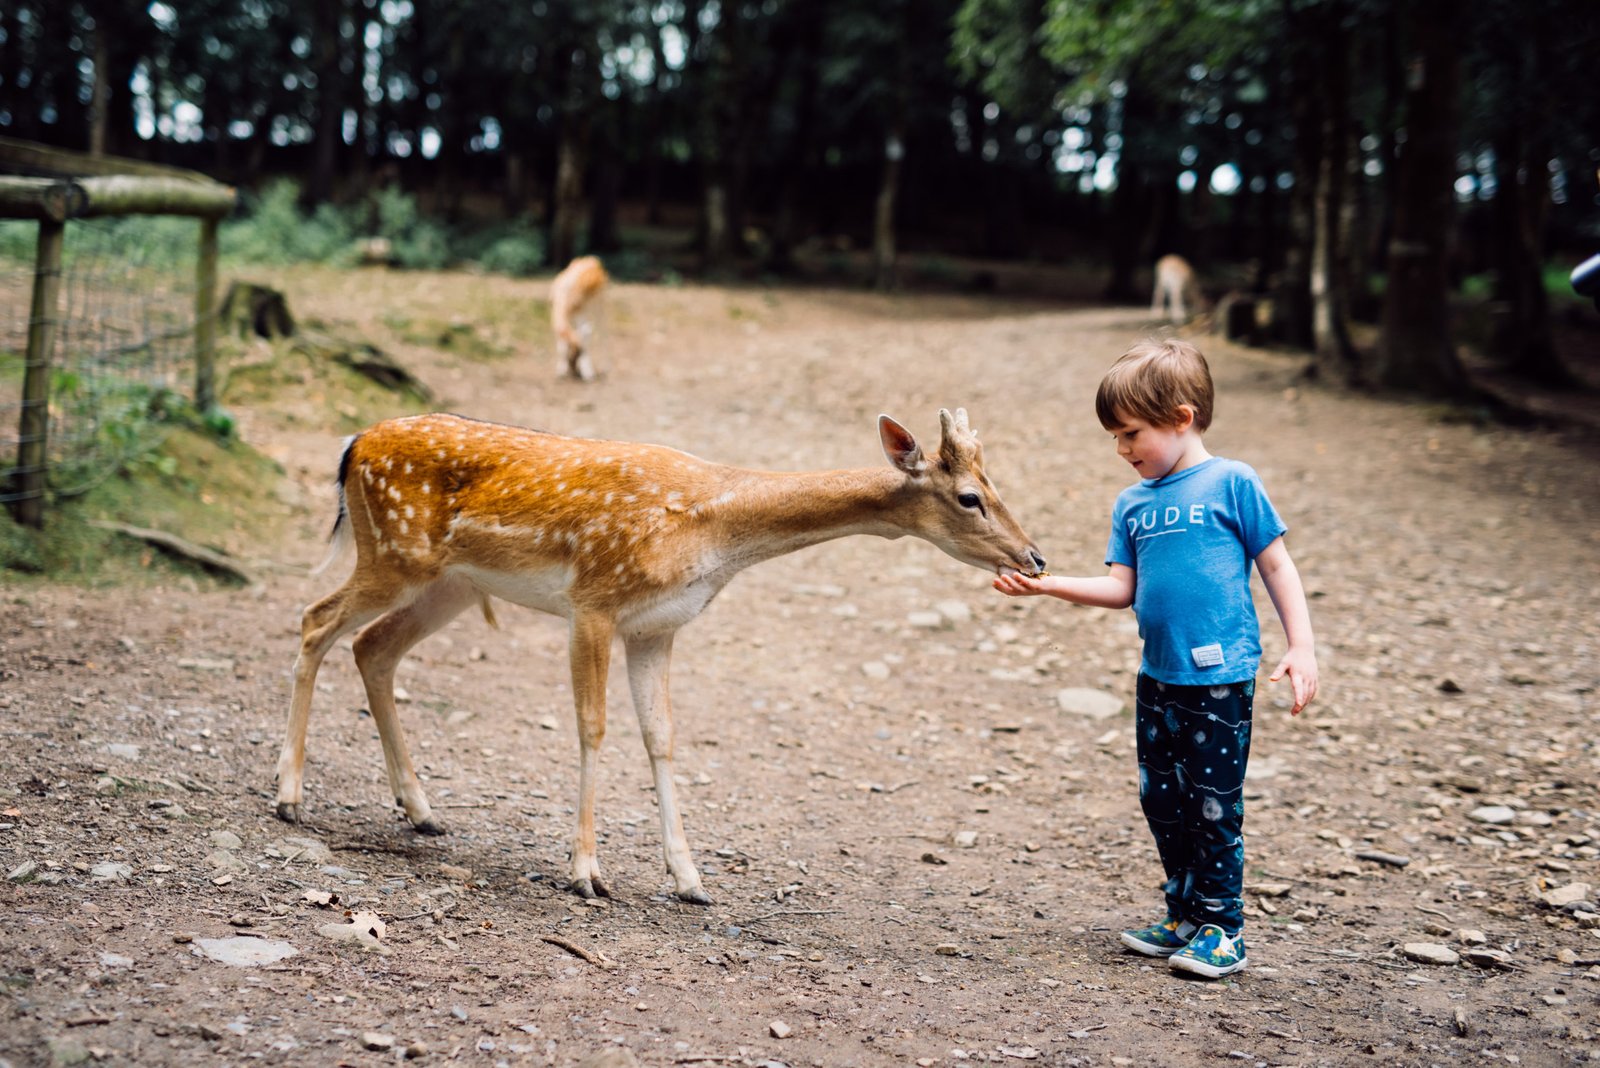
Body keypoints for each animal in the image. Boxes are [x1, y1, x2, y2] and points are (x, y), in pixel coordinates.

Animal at [275, 409, 1046, 904]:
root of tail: (352, 445)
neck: (717, 534)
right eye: (970, 497)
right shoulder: (594, 602)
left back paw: (421, 810)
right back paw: (289, 796)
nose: (1035, 557)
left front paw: (691, 880)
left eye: (998, 488)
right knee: (315, 622)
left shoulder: (658, 627)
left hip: (451, 584)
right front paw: (586, 871)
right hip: (395, 553)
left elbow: (662, 737)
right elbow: (593, 728)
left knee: (373, 647)